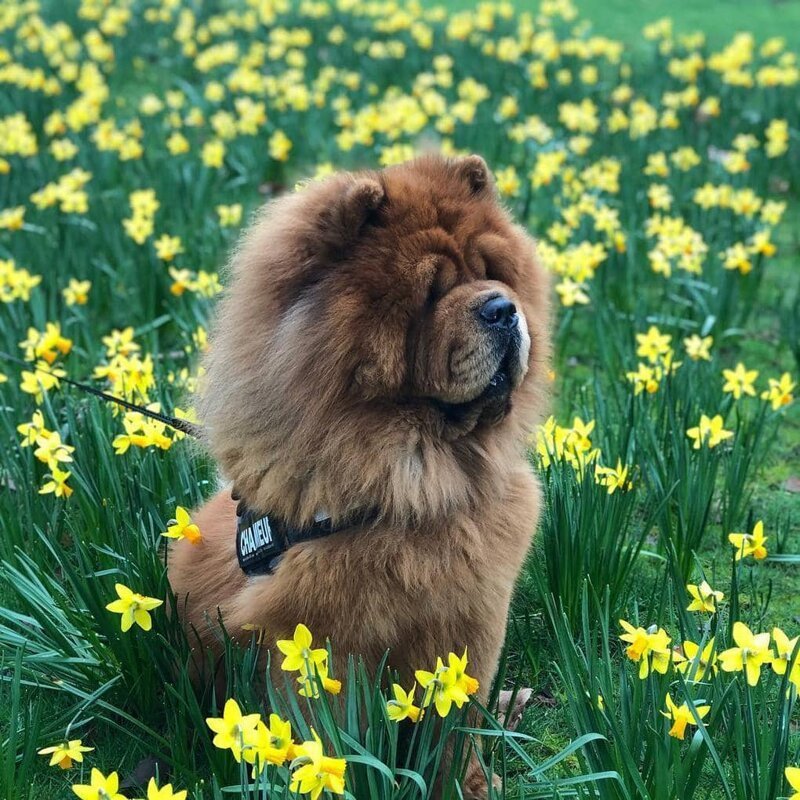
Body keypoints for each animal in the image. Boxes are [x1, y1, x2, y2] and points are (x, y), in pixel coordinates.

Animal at [169, 153, 552, 796]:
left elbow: (457, 724)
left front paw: (470, 785)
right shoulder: (323, 636)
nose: (503, 308)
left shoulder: (471, 619)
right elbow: (328, 730)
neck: (418, 479)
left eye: (495, 275)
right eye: (431, 292)